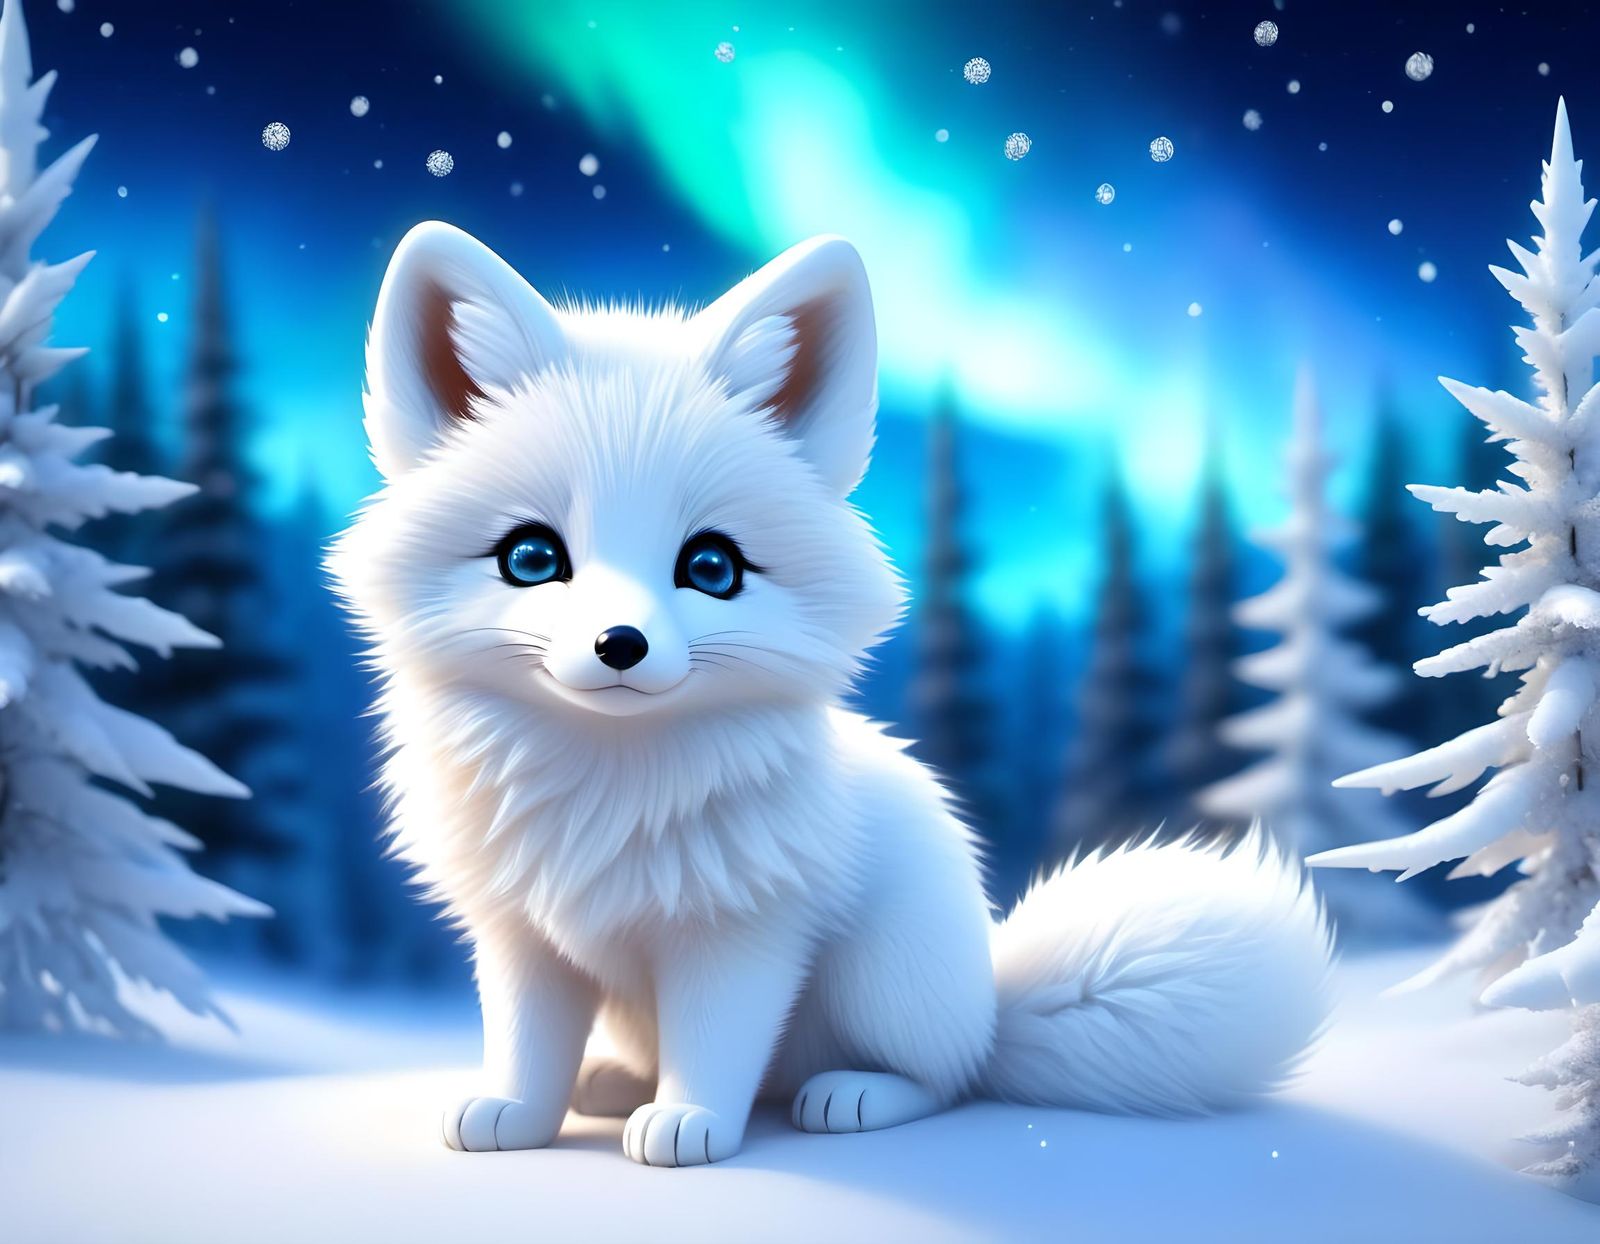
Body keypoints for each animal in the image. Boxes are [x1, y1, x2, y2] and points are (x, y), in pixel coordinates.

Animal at [330, 222, 1332, 1167]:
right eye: (532, 558)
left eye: (711, 567)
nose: (621, 645)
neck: (605, 789)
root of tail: (988, 1001)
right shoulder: (520, 935)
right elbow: (527, 1044)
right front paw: (514, 1114)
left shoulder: (744, 936)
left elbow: (716, 1043)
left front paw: (690, 1124)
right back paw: (613, 1081)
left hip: (878, 980)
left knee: (942, 1080)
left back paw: (851, 1095)